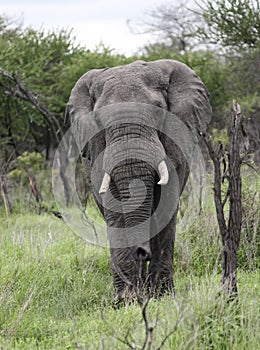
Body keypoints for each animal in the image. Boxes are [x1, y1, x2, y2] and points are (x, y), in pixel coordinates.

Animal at [65, 58, 211, 304]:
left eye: (159, 111)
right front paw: (126, 301)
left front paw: (161, 296)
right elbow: (114, 212)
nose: (142, 252)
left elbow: (166, 207)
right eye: (99, 119)